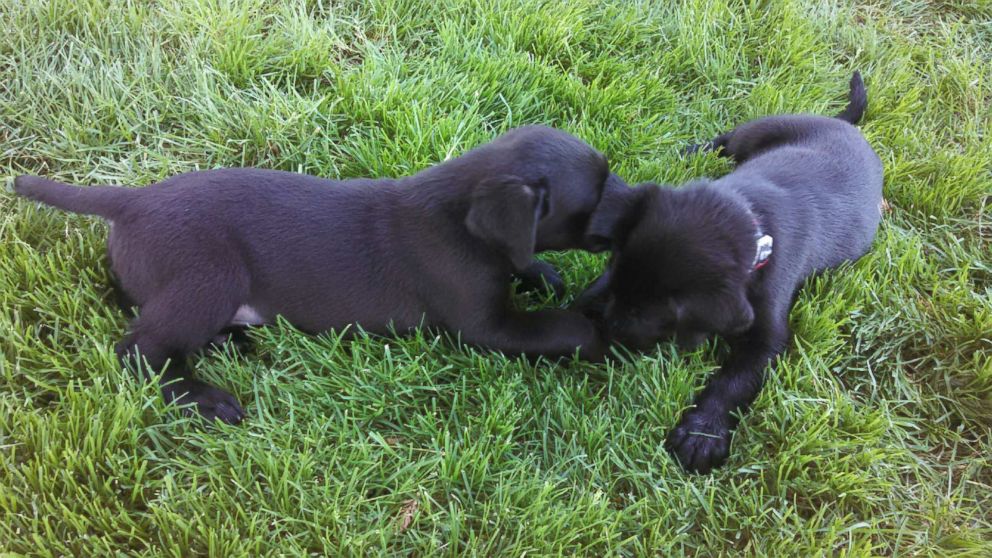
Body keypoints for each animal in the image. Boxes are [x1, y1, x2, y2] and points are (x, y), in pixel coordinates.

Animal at [17, 126, 612, 424]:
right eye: (593, 203)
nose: (627, 216)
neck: (458, 211)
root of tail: (131, 201)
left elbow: (525, 261)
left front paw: (542, 272)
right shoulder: (487, 327)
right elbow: (554, 327)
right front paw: (596, 332)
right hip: (210, 275)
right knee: (139, 349)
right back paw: (203, 397)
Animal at [576, 72, 880, 474]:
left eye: (641, 312)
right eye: (610, 270)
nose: (585, 316)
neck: (753, 218)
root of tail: (845, 125)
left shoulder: (768, 336)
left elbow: (734, 380)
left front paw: (702, 432)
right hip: (759, 130)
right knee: (726, 140)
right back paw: (692, 150)